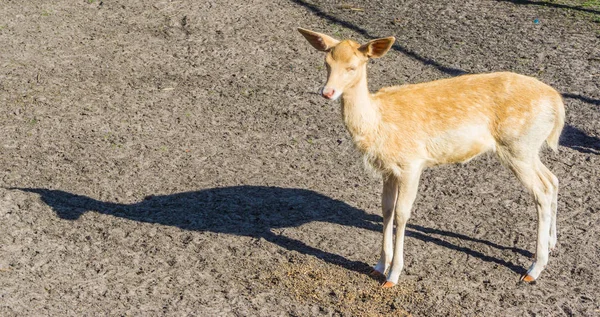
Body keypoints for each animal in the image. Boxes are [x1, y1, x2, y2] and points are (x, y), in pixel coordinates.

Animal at [298, 28, 564, 288]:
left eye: (352, 67)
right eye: (327, 62)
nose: (327, 92)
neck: (378, 124)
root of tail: (557, 104)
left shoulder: (412, 163)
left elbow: (402, 213)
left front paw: (393, 276)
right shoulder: (388, 170)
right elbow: (386, 209)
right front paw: (378, 266)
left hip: (517, 145)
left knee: (541, 191)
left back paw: (533, 270)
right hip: (528, 148)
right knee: (552, 180)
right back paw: (550, 245)